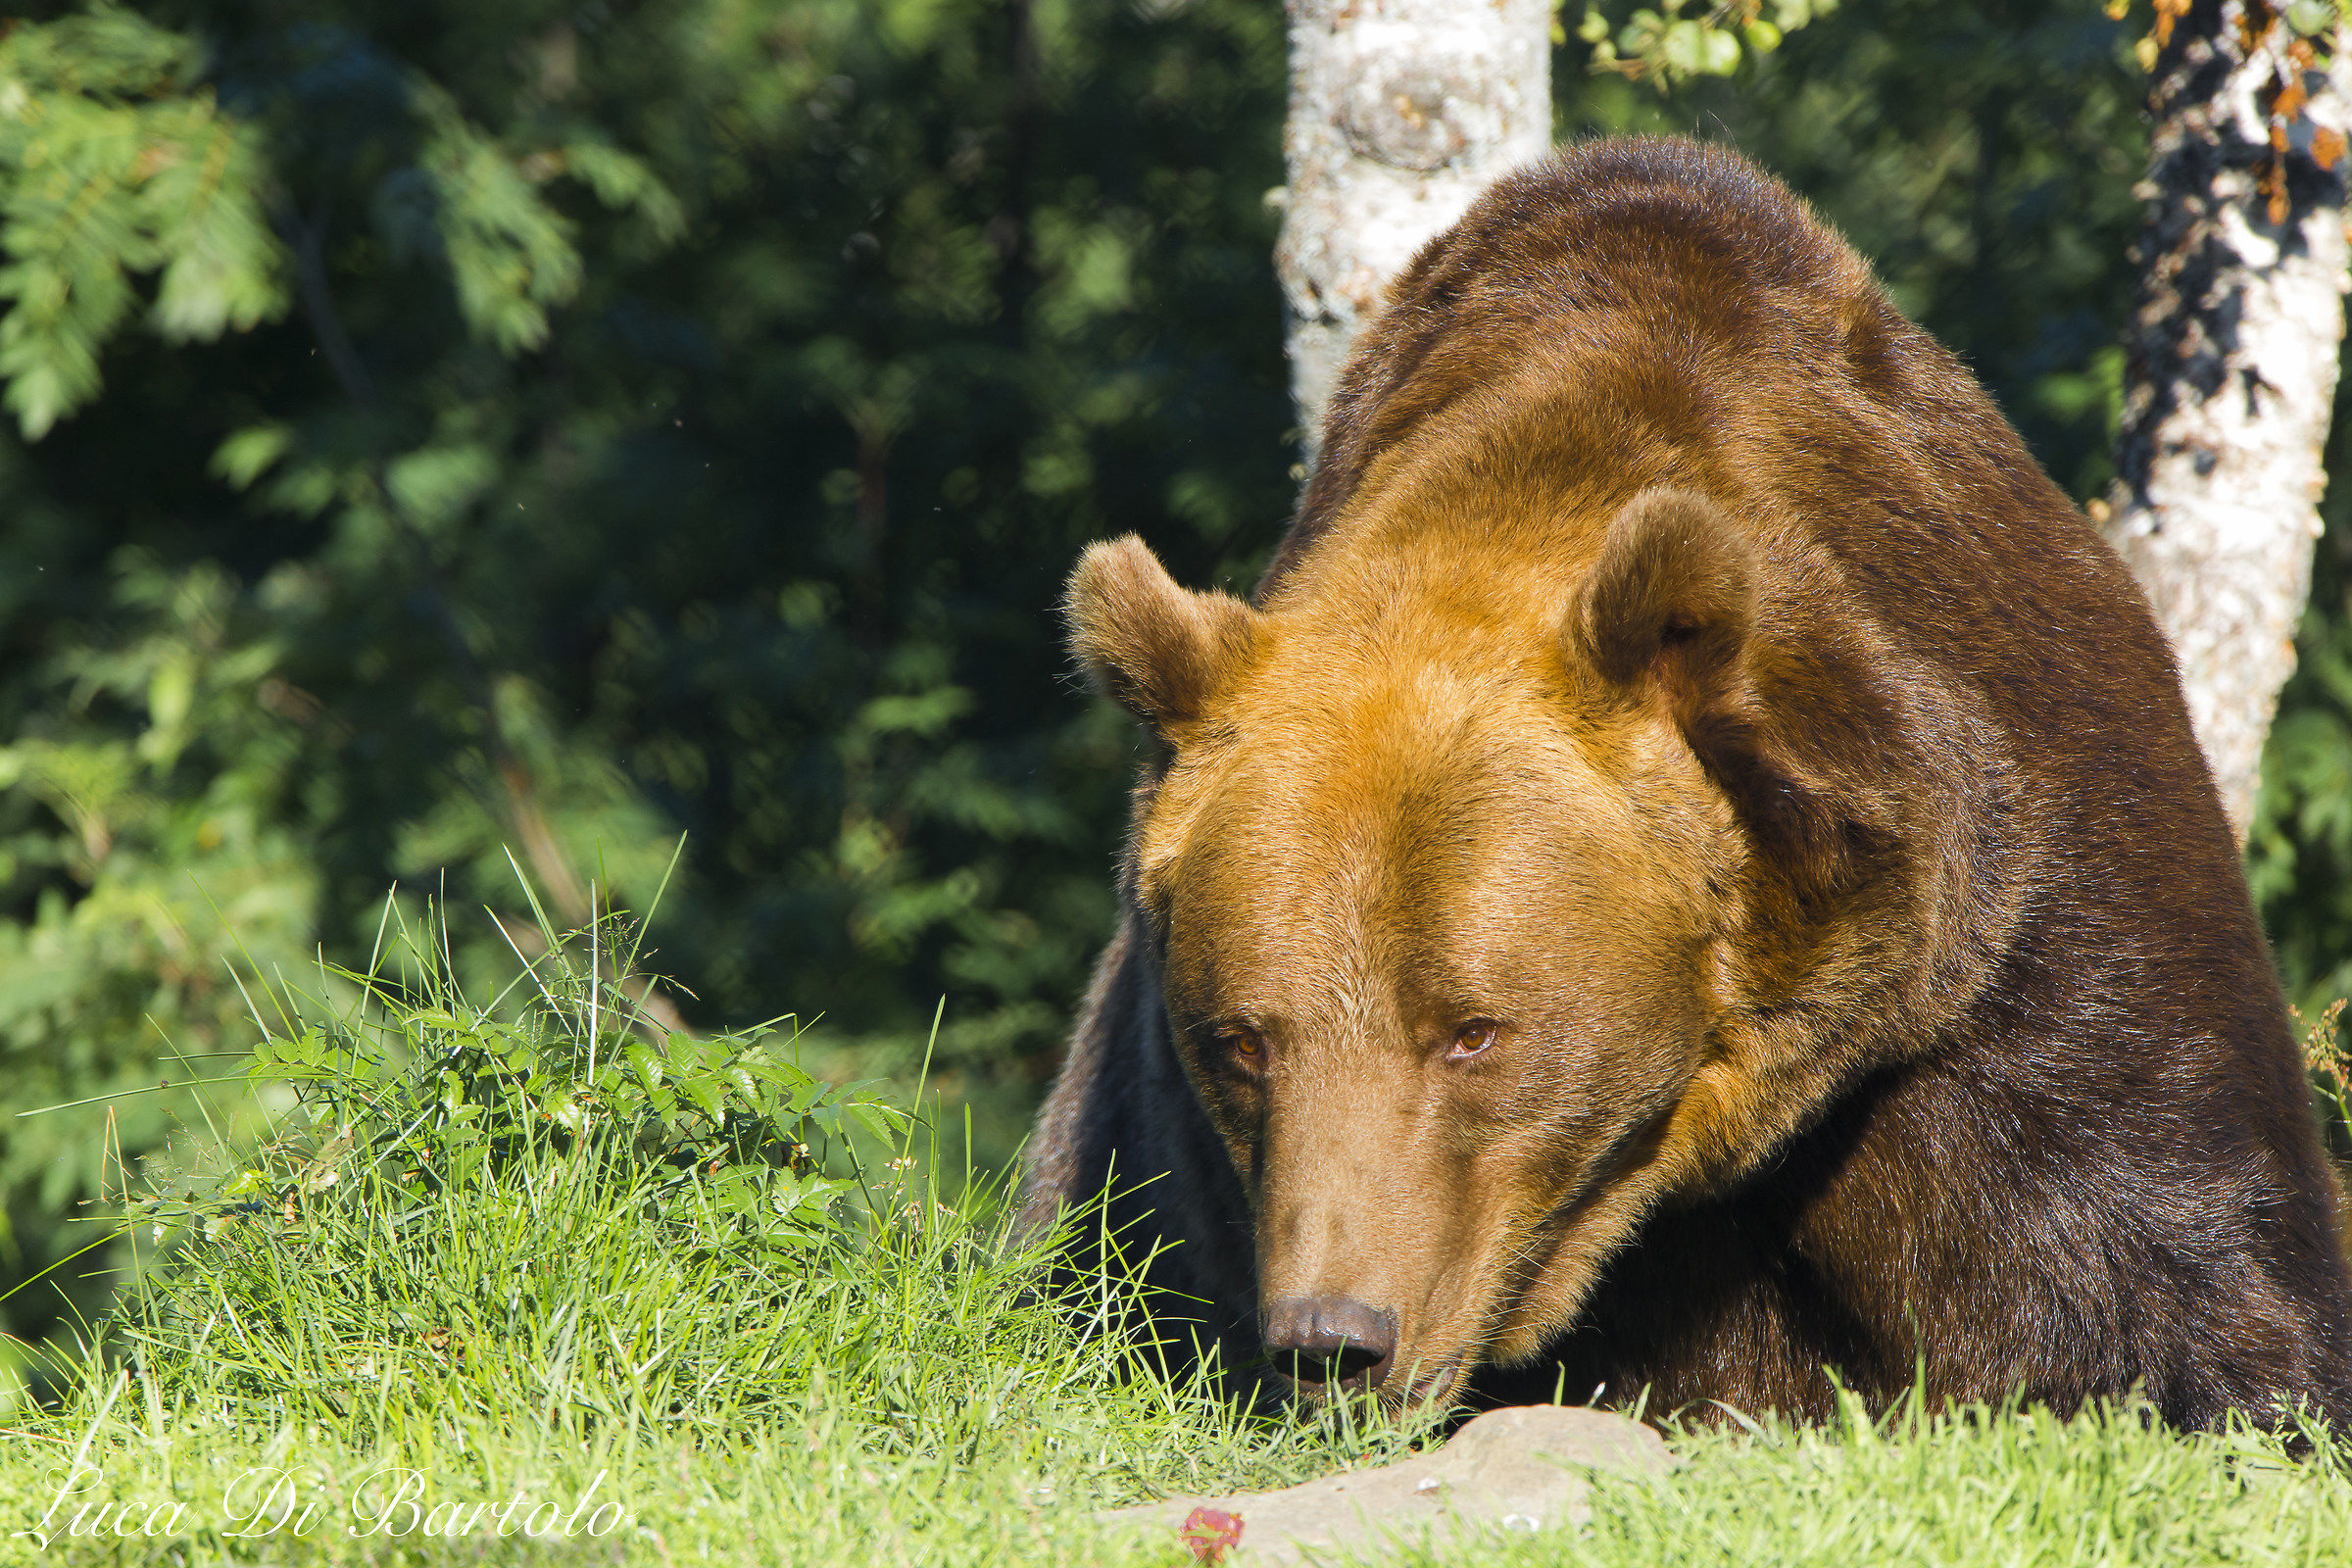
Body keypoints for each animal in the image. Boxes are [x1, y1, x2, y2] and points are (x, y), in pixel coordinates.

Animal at [1015, 135, 2352, 1430]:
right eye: (1242, 1039)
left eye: (1473, 1032)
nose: (1335, 1337)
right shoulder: (1160, 1131)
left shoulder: (2009, 944)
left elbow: (2159, 1260)